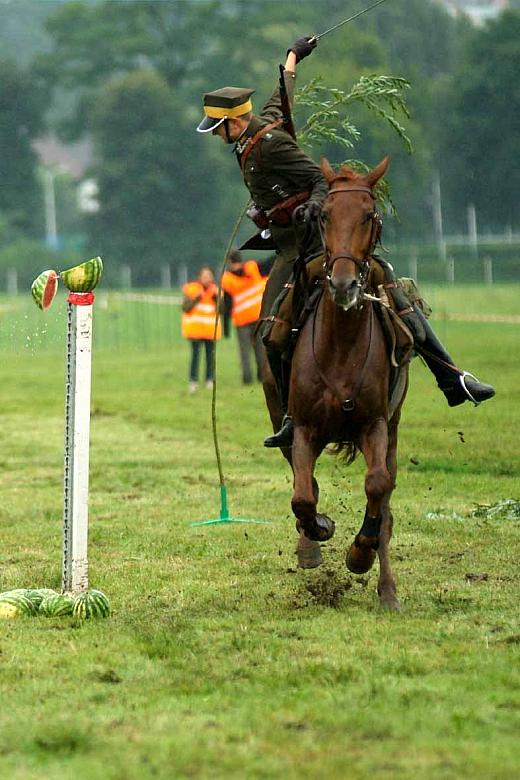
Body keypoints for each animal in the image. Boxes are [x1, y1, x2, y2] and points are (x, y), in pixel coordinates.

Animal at [264, 155, 406, 612]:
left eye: (369, 215)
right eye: (324, 216)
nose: (343, 284)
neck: (341, 345)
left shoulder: (375, 424)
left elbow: (378, 486)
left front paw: (360, 552)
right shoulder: (305, 427)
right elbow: (303, 496)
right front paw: (319, 530)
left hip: (393, 427)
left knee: (386, 499)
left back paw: (387, 590)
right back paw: (309, 544)